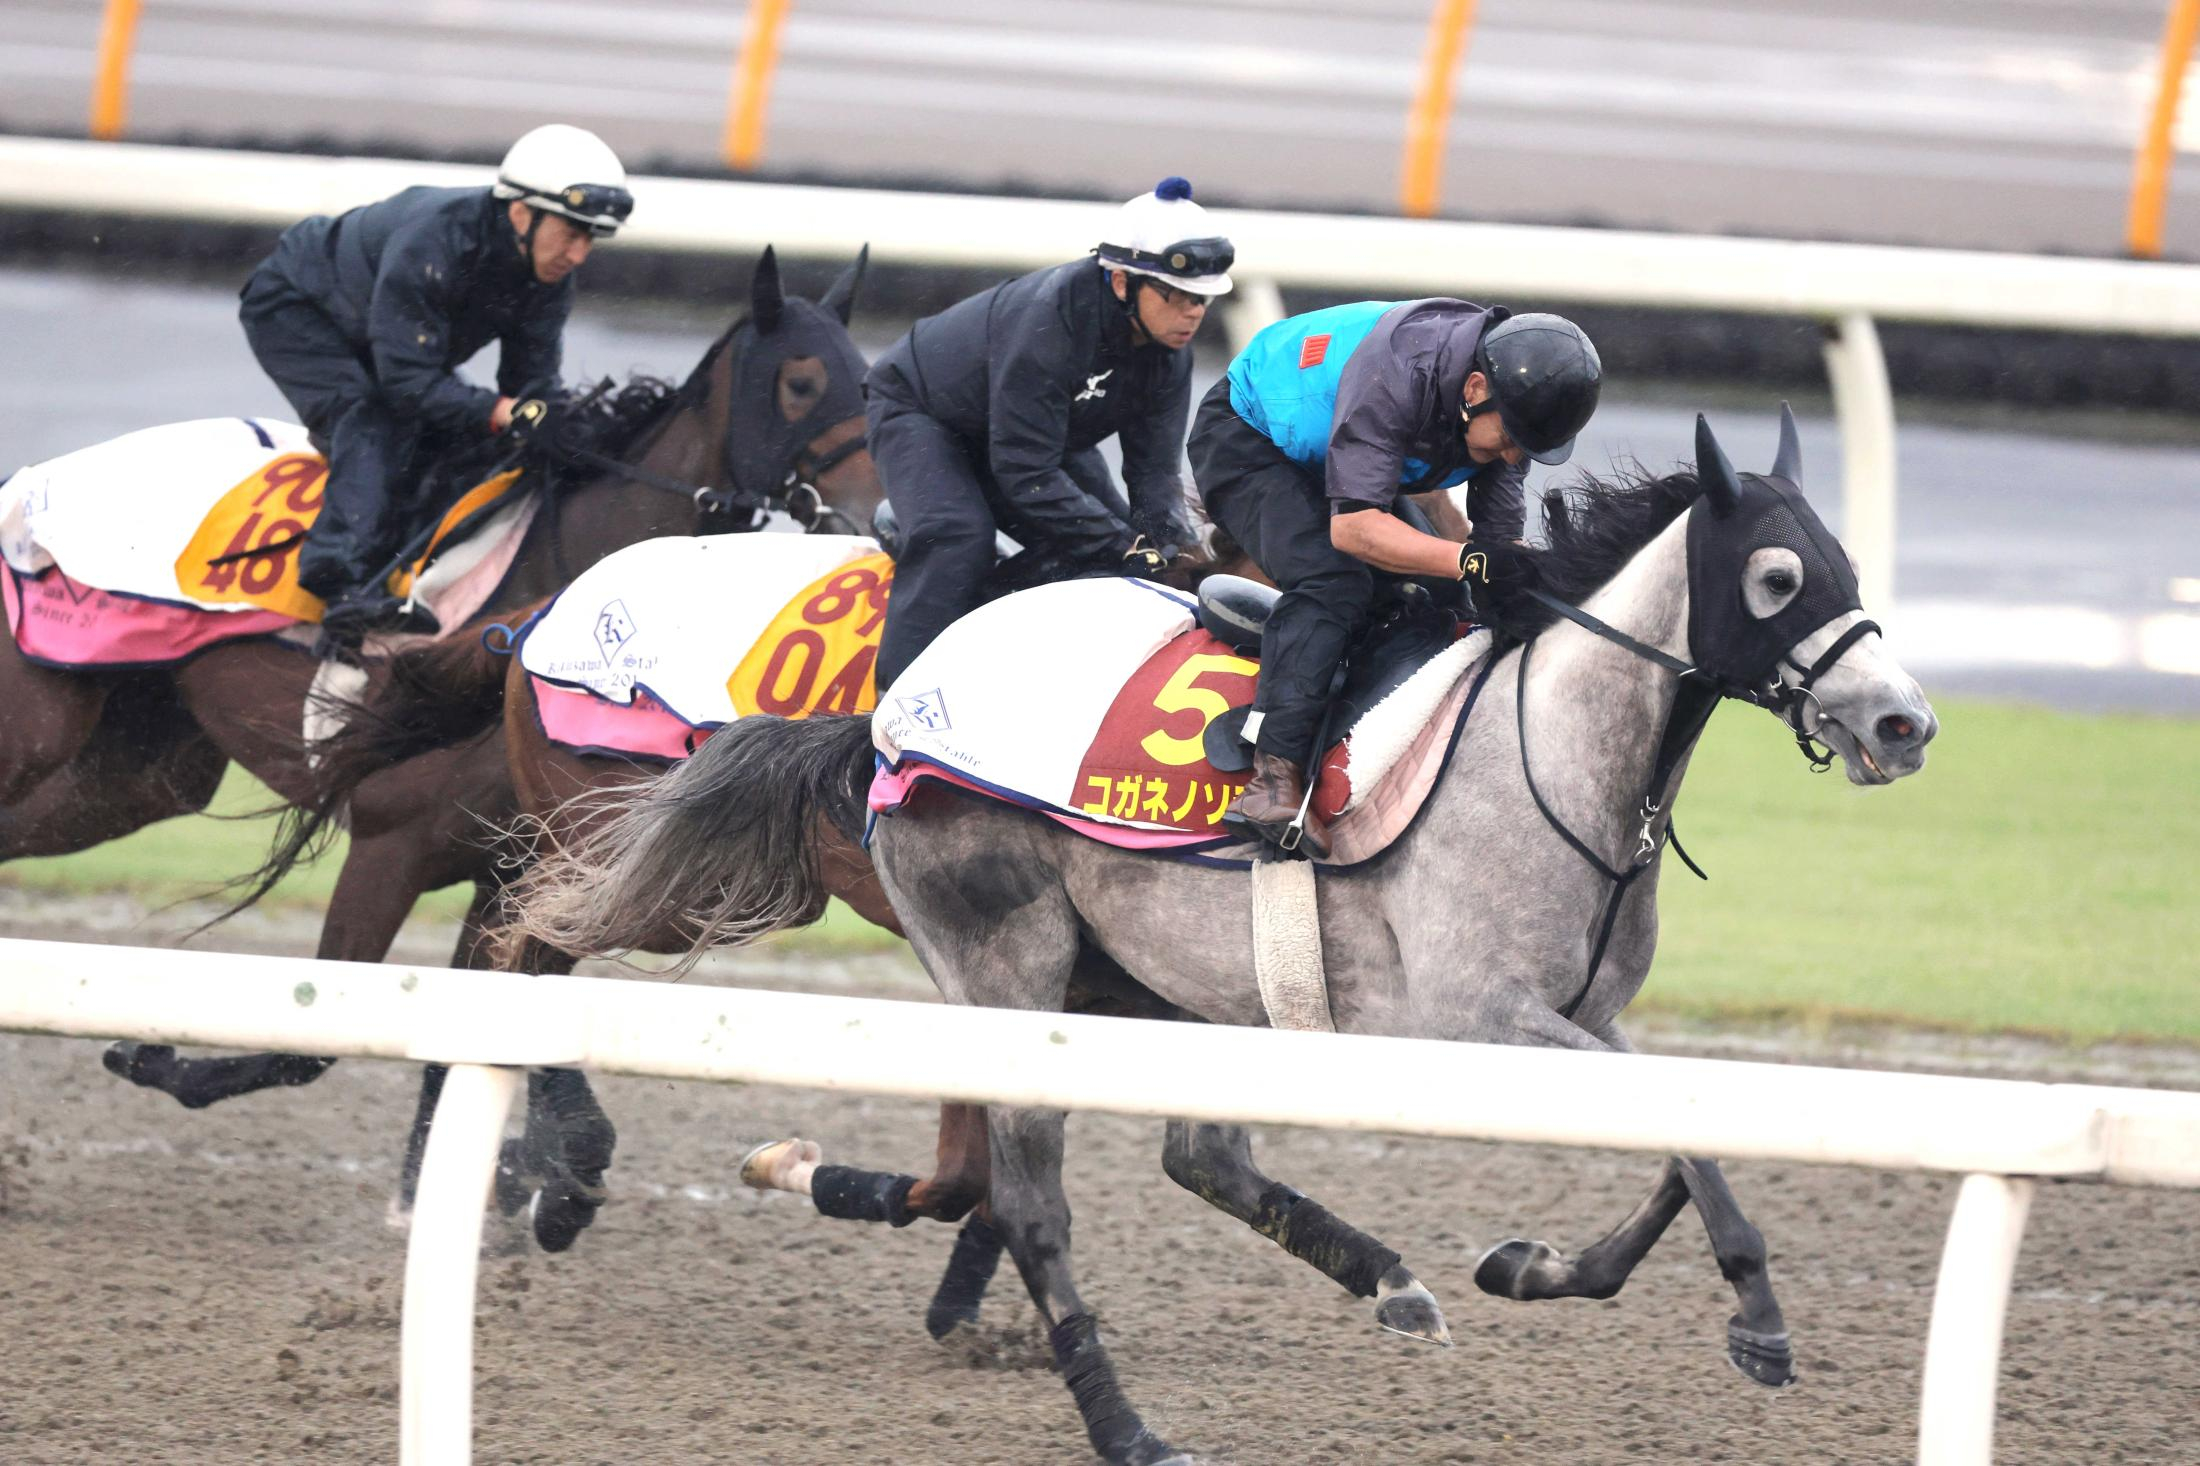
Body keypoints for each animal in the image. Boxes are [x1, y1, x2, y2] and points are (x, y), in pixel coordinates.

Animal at [503, 405, 1944, 1452]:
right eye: (1777, 574)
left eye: (1845, 567)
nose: (1903, 721)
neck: (1549, 753)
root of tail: (892, 712)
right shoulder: (1477, 1016)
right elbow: (1692, 1150)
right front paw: (1759, 1319)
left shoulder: (1583, 1017)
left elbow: (1673, 1147)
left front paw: (1535, 1265)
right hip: (1005, 957)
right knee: (1030, 1200)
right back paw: (1125, 1423)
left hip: (1158, 982)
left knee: (1192, 1153)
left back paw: (1386, 1280)